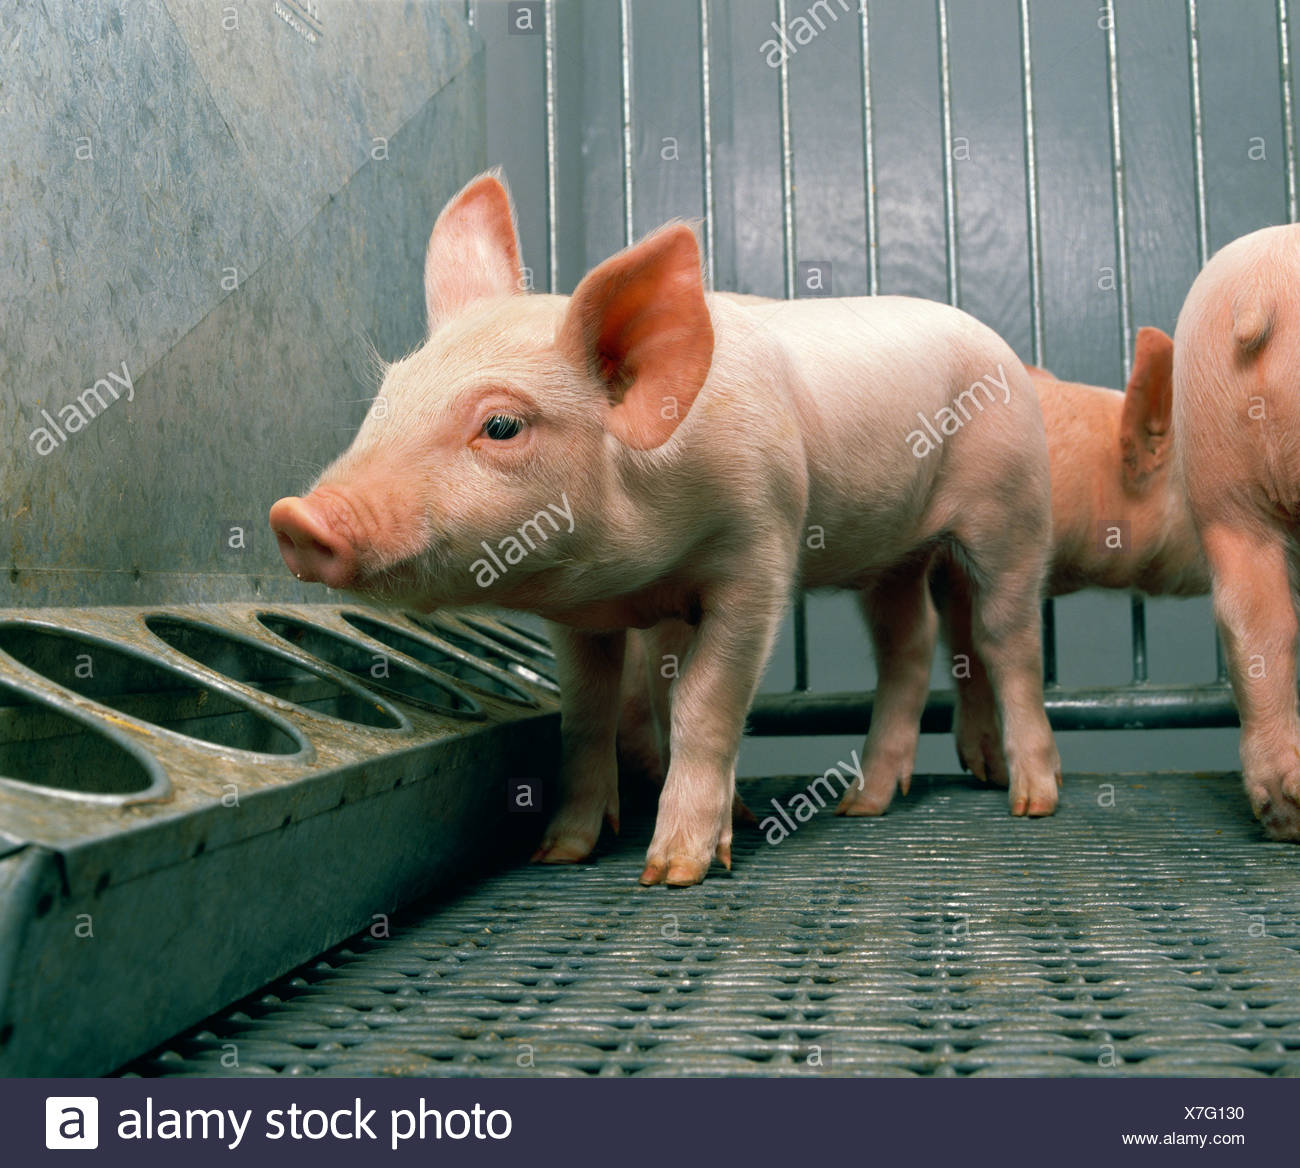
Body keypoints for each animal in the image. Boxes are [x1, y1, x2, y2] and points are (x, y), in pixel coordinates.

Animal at [269, 171, 1062, 885]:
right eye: (387, 396)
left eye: (501, 426)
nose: (294, 517)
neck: (637, 563)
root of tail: (1001, 348)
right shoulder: (583, 616)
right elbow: (593, 712)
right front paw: (561, 853)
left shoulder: (760, 553)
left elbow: (704, 704)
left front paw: (675, 870)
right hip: (895, 554)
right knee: (911, 644)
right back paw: (864, 806)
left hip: (1013, 503)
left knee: (1006, 636)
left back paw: (1030, 803)